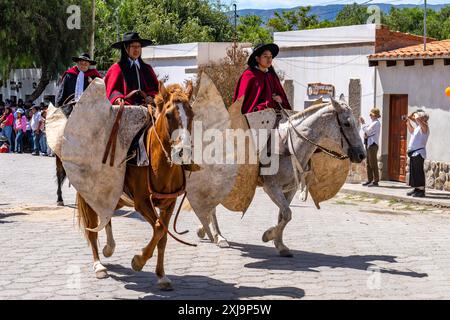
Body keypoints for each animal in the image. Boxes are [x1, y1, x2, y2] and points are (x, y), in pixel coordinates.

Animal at [76, 82, 195, 290]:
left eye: (192, 114)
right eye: (169, 115)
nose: (183, 153)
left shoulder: (169, 204)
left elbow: (162, 236)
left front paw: (161, 276)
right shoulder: (142, 202)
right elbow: (158, 228)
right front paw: (138, 261)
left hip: (114, 196)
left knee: (106, 215)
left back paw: (109, 248)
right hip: (90, 195)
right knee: (92, 228)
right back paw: (99, 265)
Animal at [190, 95, 366, 258]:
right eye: (347, 123)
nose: (361, 155)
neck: (290, 146)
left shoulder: (290, 189)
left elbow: (283, 215)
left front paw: (280, 245)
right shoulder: (271, 187)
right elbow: (287, 214)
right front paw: (268, 235)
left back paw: (204, 230)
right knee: (212, 205)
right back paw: (219, 237)